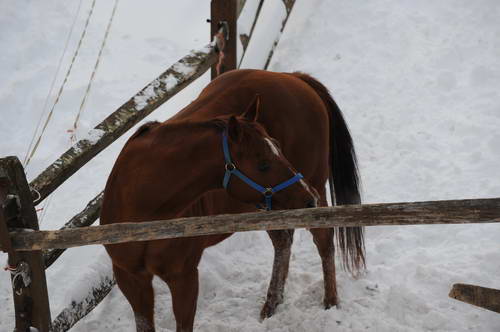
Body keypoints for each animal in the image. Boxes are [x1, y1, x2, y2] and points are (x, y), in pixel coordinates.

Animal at [102, 68, 364, 330]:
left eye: (278, 149)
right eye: (263, 164)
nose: (308, 198)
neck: (143, 210)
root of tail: (290, 76)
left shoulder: (184, 276)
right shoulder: (130, 279)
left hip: (311, 188)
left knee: (323, 240)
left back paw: (330, 301)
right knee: (283, 242)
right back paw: (272, 303)